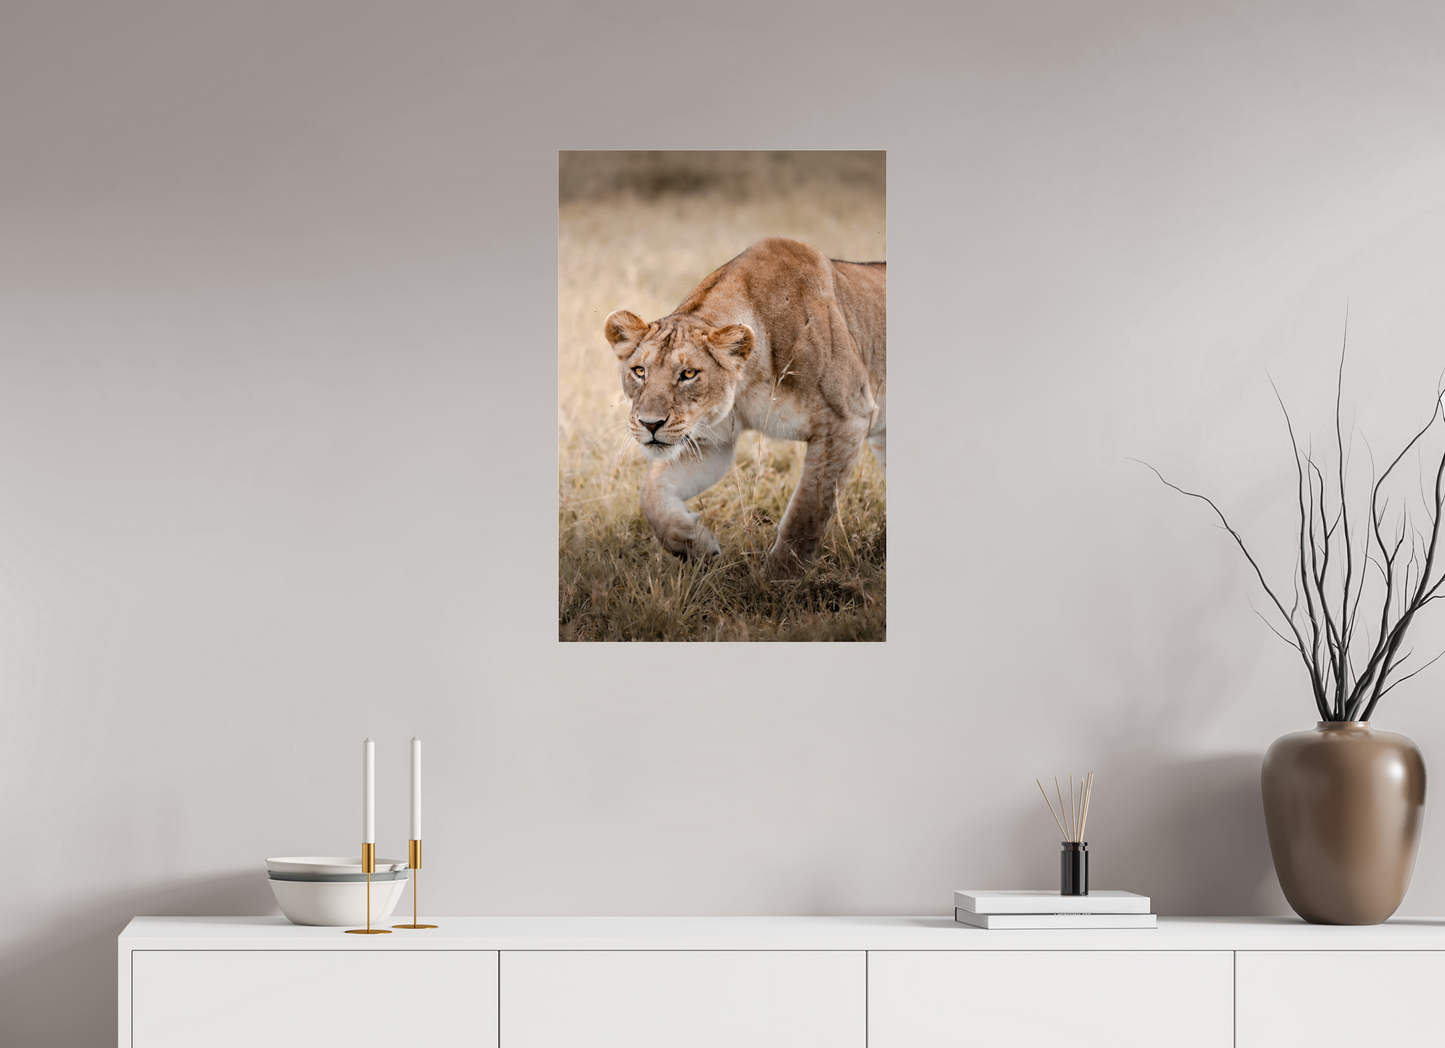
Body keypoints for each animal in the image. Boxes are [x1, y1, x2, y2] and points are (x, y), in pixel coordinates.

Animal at [604, 236, 885, 576]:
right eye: (639, 371)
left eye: (688, 374)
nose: (650, 424)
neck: (748, 382)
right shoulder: (710, 441)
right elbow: (651, 494)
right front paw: (696, 546)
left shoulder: (847, 420)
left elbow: (807, 512)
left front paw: (778, 578)